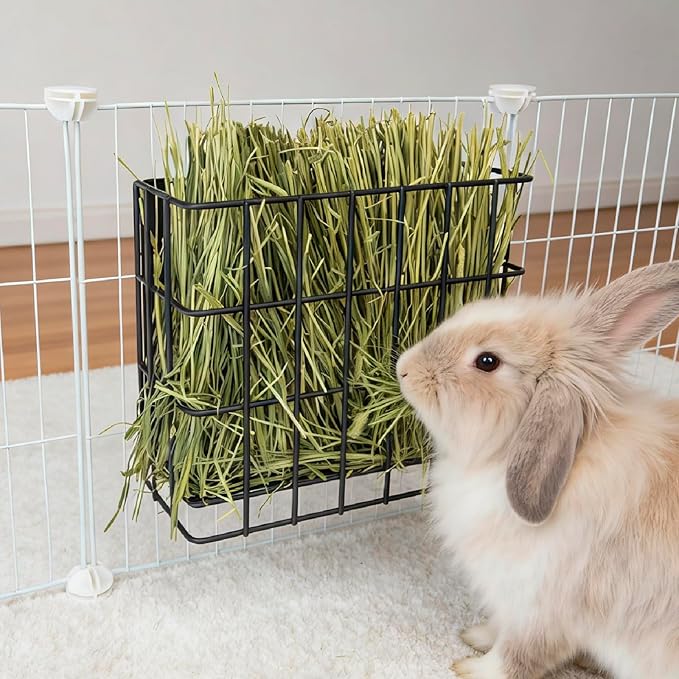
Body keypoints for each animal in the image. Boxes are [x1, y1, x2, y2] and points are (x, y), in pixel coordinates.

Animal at [396, 262, 679, 679]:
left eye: (487, 361)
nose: (404, 367)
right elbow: (498, 628)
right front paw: (475, 635)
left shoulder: (541, 609)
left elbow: (517, 656)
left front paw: (471, 668)